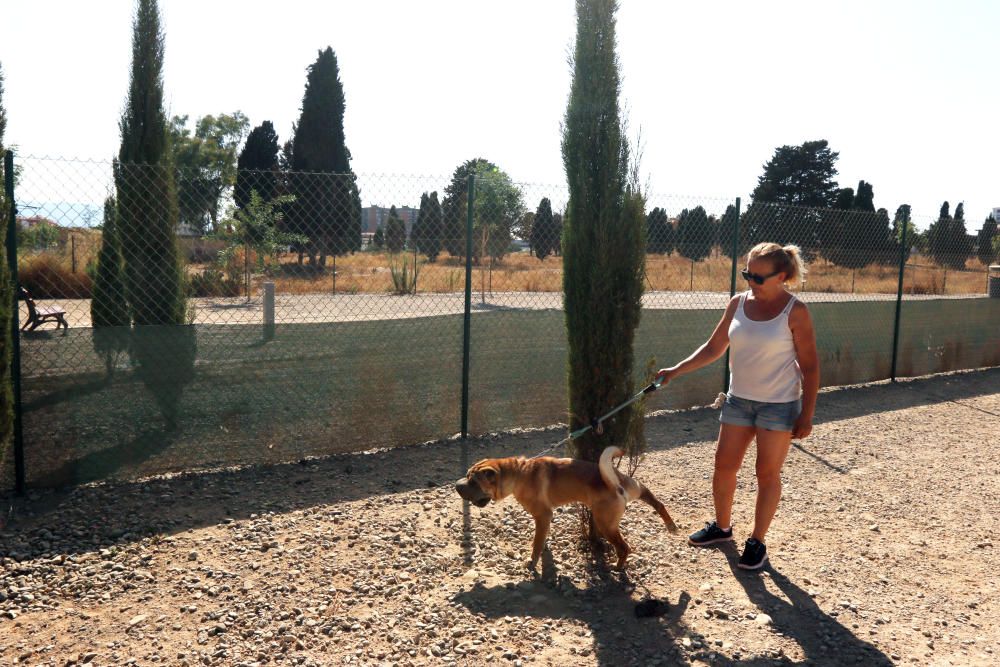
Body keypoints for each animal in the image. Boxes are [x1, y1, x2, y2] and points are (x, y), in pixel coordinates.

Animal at [456, 448, 680, 568]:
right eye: (466, 476)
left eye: (474, 482)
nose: (457, 486)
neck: (519, 473)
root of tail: (615, 484)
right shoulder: (544, 519)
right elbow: (541, 538)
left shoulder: (543, 514)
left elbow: (536, 543)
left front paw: (532, 561)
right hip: (635, 487)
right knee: (656, 501)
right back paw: (671, 526)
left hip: (605, 523)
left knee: (624, 547)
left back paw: (617, 568)